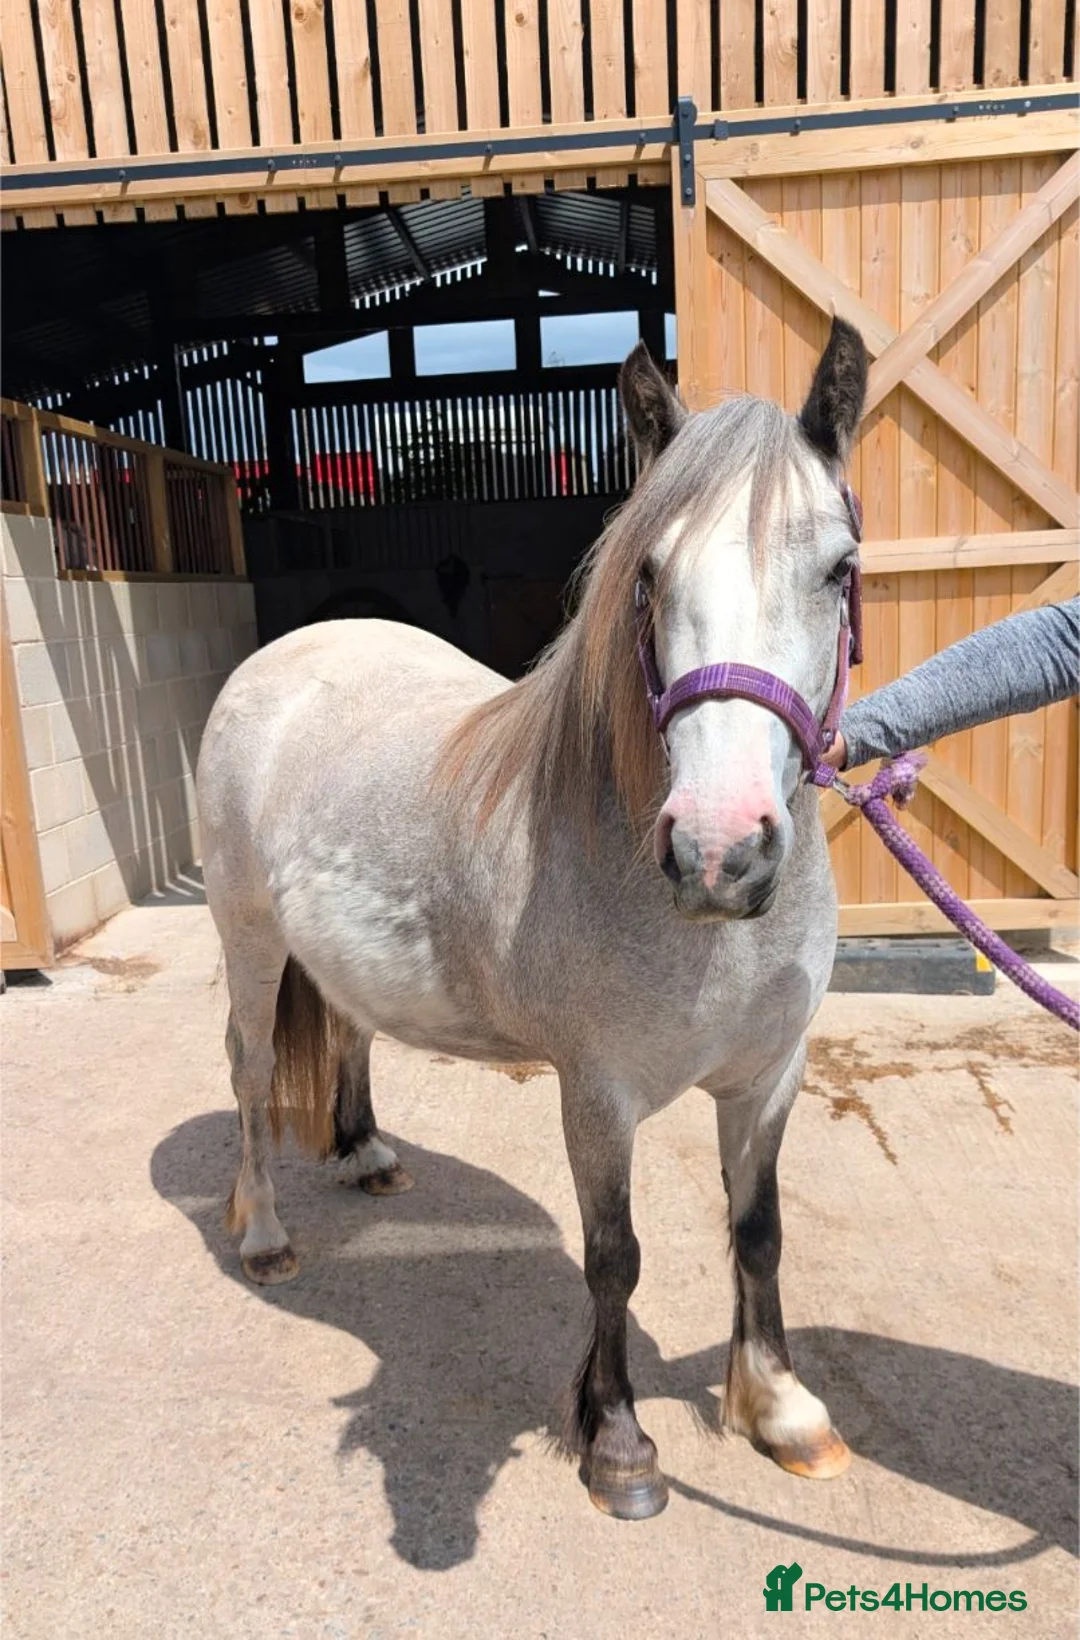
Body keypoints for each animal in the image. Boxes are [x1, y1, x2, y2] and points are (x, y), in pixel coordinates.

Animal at [196, 316, 869, 1521]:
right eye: (647, 575)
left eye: (838, 572)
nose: (718, 849)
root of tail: (285, 655)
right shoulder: (597, 1095)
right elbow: (616, 1255)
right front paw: (620, 1444)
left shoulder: (769, 1077)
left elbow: (758, 1230)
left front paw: (782, 1408)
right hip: (248, 939)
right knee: (248, 1071)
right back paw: (265, 1234)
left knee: (348, 1026)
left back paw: (366, 1153)